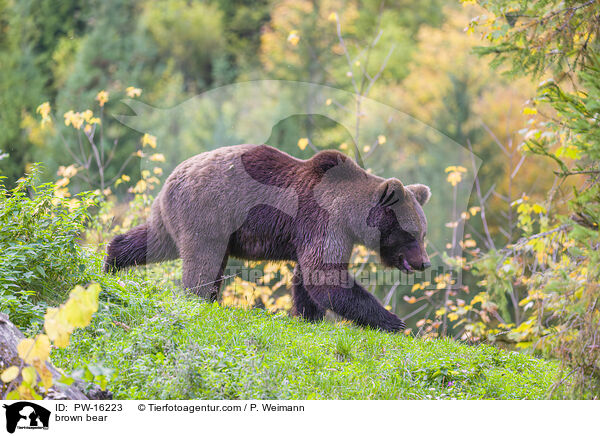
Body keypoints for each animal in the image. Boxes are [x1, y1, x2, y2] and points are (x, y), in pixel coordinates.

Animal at [105, 145, 428, 332]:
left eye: (423, 233)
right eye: (411, 234)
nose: (423, 262)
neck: (351, 214)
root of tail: (173, 175)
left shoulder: (312, 232)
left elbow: (307, 279)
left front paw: (307, 316)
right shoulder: (324, 220)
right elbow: (325, 276)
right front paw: (393, 321)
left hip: (175, 216)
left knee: (155, 241)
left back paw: (111, 260)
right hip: (208, 213)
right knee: (201, 262)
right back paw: (199, 299)